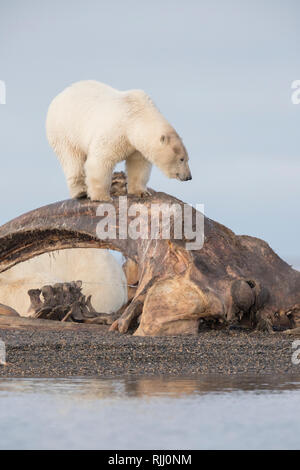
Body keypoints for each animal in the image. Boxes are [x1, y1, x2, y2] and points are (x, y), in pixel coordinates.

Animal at [47, 80, 192, 200]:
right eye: (181, 159)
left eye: (187, 158)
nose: (189, 177)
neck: (136, 115)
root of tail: (59, 96)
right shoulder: (115, 131)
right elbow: (101, 161)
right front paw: (102, 197)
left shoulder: (136, 145)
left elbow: (138, 165)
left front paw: (141, 192)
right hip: (65, 131)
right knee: (72, 160)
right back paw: (80, 192)